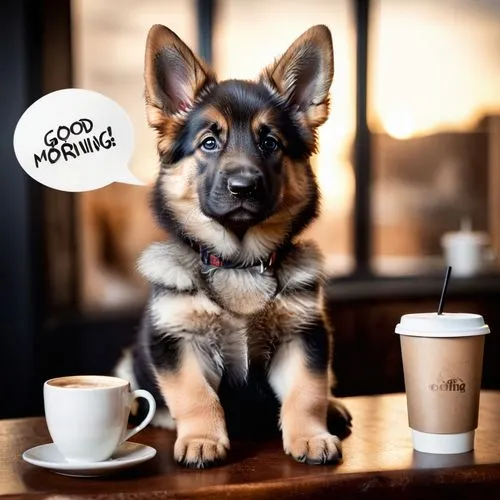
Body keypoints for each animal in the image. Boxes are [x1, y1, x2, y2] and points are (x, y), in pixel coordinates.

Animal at [116, 23, 352, 468]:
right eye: (209, 142)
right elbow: (195, 396)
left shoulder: (304, 337)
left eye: (270, 143)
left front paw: (311, 436)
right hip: (130, 362)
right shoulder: (177, 342)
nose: (243, 186)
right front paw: (202, 439)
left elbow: (306, 392)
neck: (238, 261)